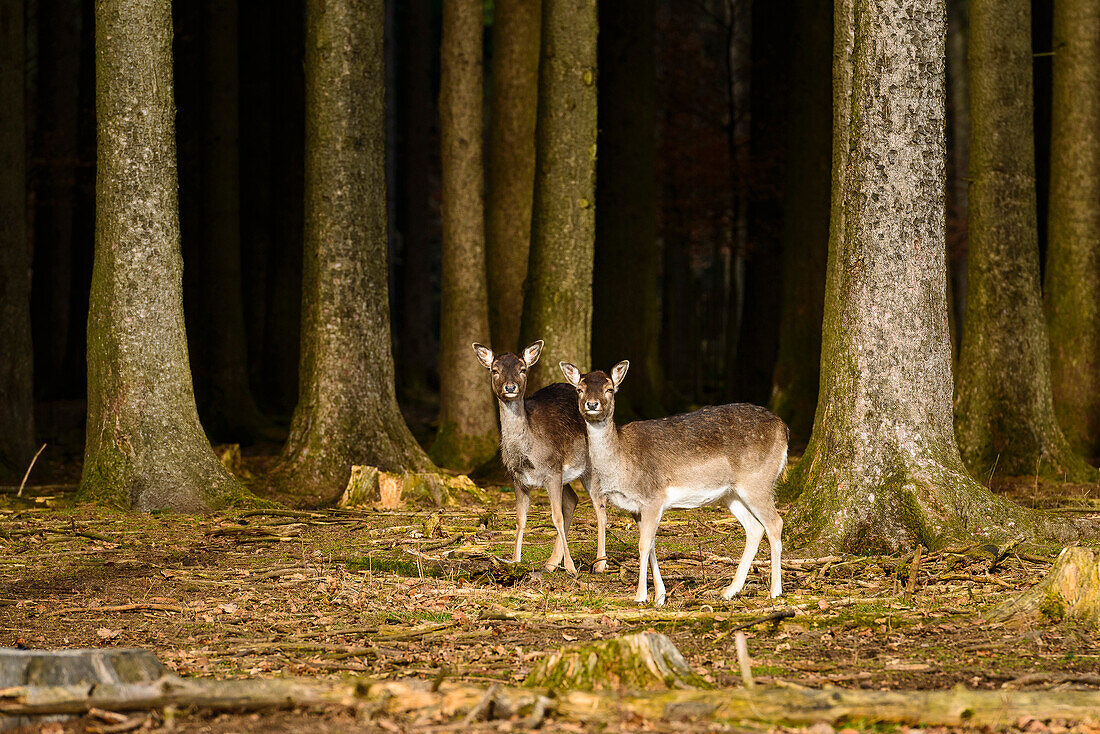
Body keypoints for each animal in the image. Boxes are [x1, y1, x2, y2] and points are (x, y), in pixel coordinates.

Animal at [473, 341, 611, 576]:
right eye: (494, 370)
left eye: (522, 369)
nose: (510, 387)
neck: (527, 452)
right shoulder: (517, 478)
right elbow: (520, 520)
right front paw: (514, 562)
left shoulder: (552, 471)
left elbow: (556, 517)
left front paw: (571, 568)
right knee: (572, 500)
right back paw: (551, 563)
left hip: (588, 467)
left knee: (599, 506)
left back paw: (600, 564)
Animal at [563, 358, 787, 607]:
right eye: (579, 389)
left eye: (609, 389)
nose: (592, 404)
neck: (622, 465)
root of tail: (784, 429)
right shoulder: (637, 508)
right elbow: (651, 545)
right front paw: (660, 596)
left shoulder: (653, 497)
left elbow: (643, 545)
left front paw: (640, 596)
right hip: (732, 494)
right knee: (755, 528)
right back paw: (729, 591)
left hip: (758, 481)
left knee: (775, 523)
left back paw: (775, 591)